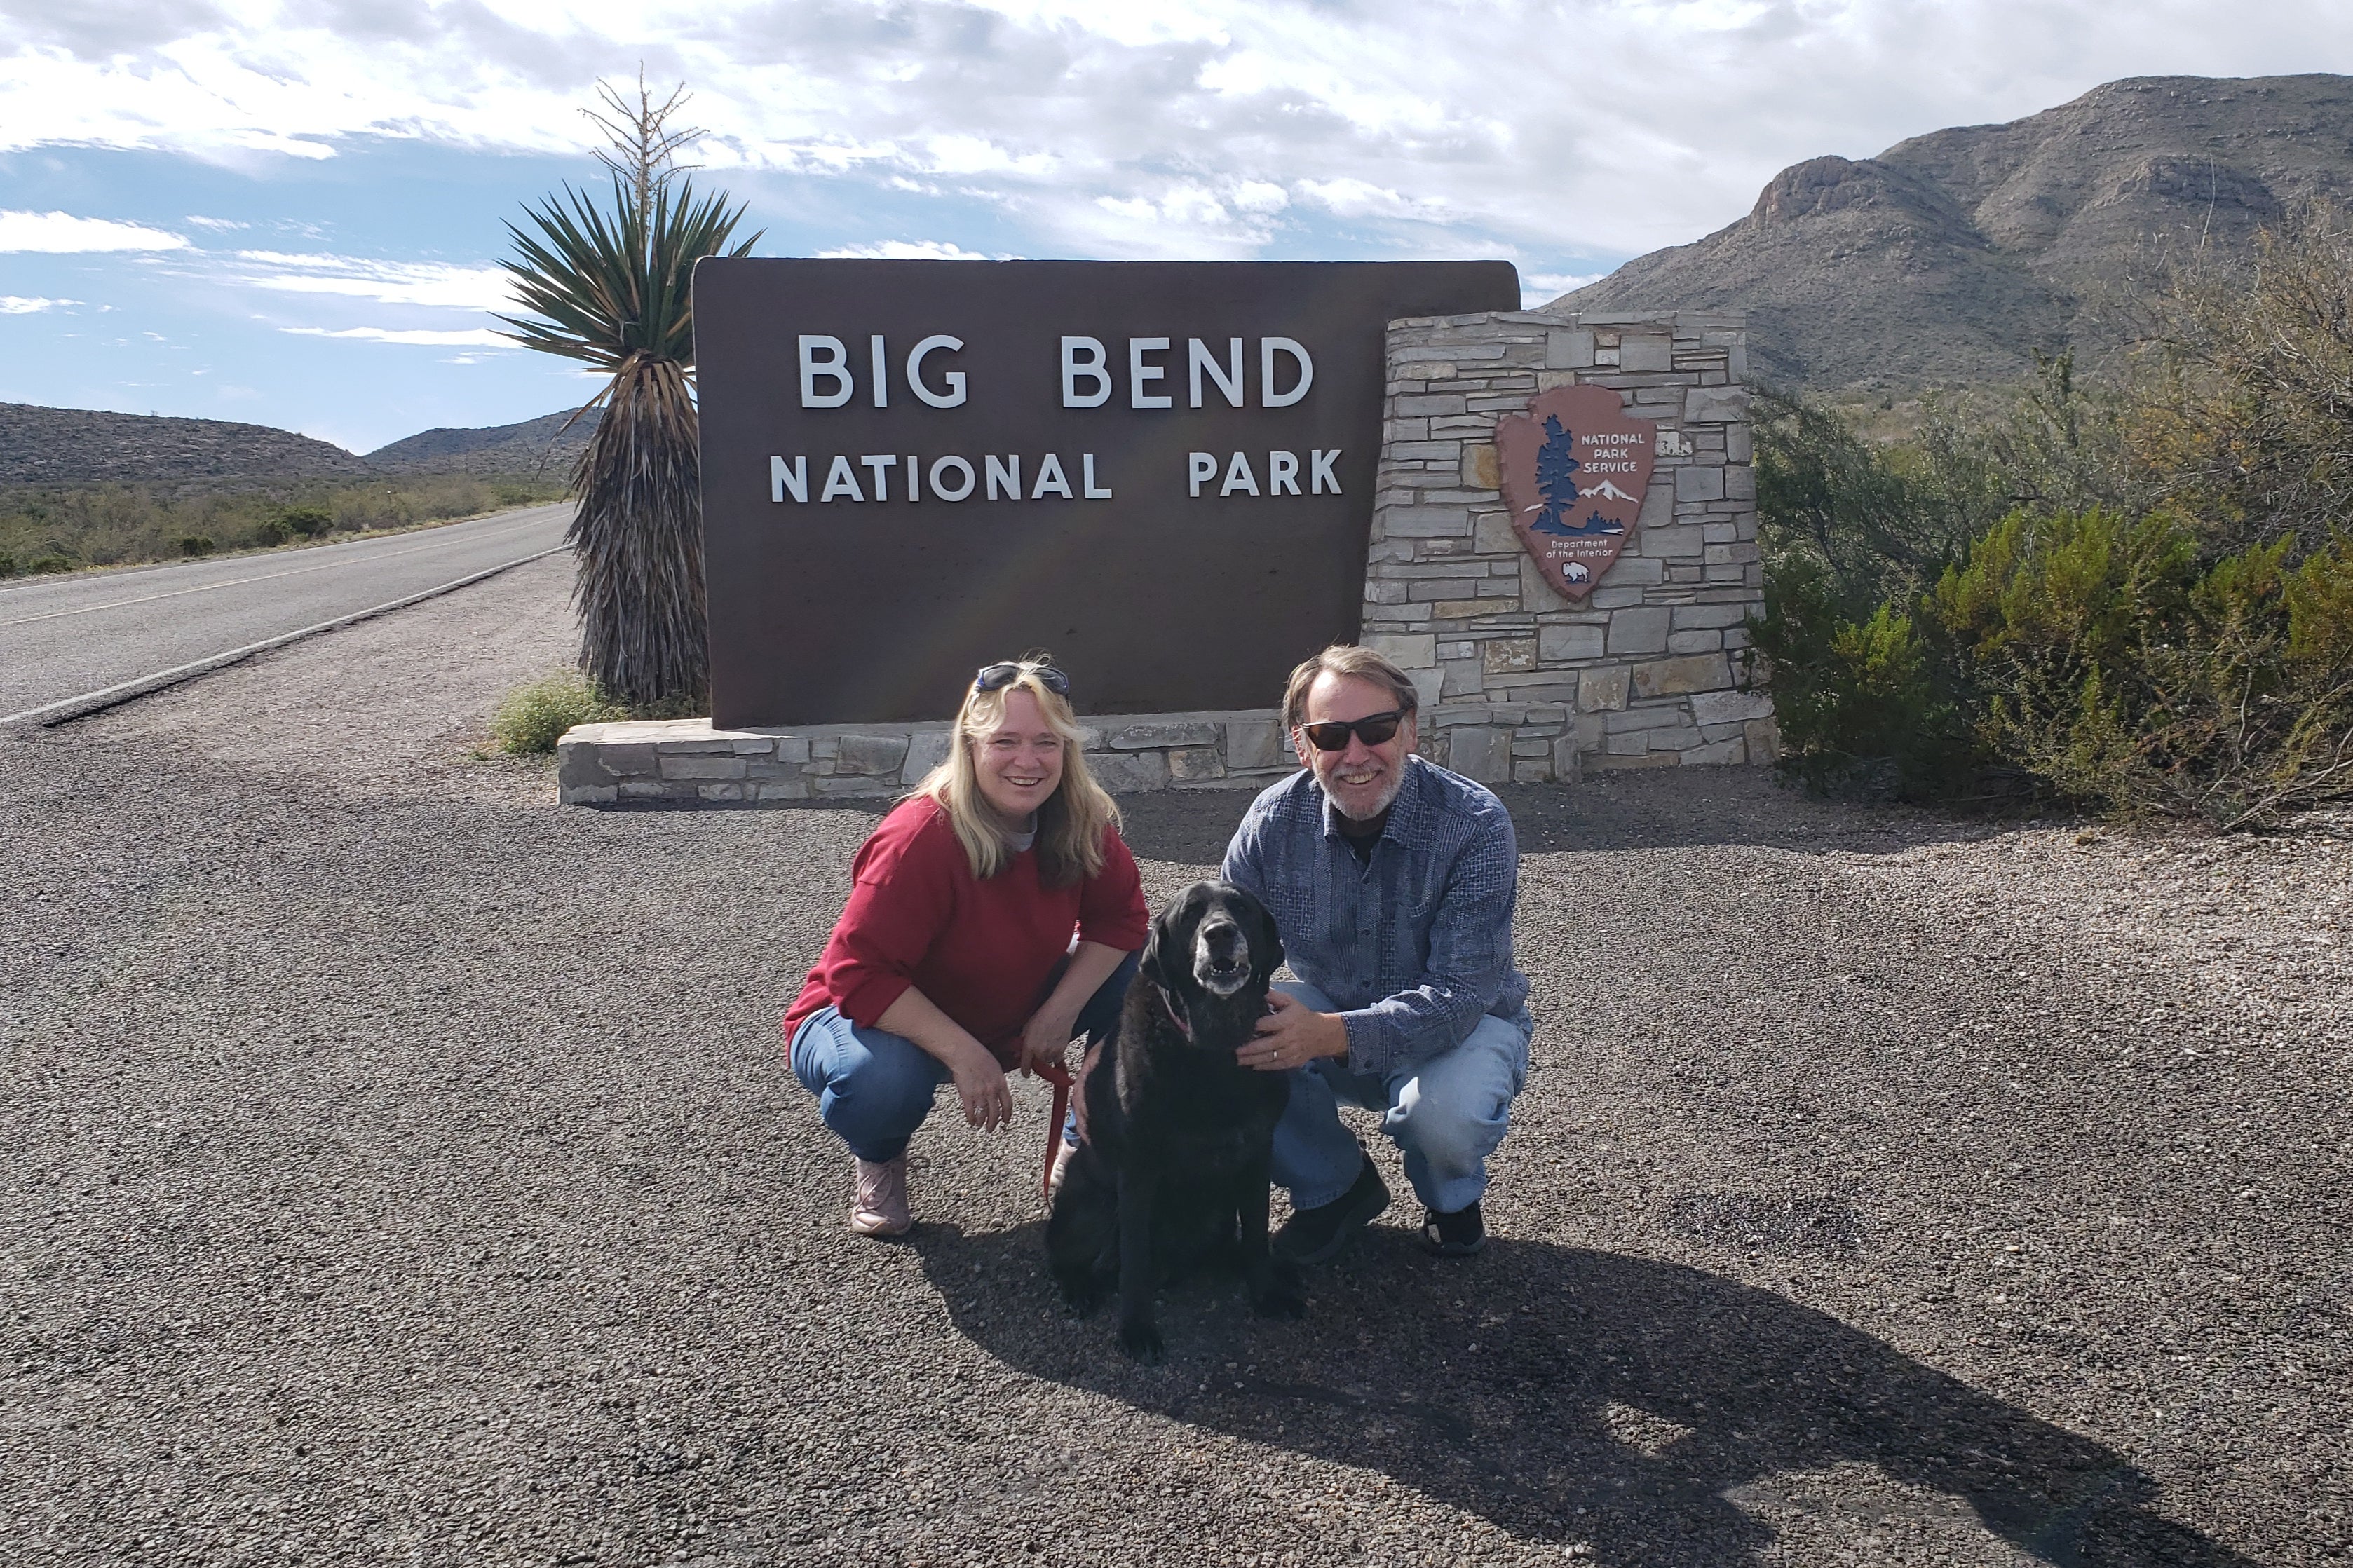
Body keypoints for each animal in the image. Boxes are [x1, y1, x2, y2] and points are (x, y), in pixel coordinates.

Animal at [1049, 884, 1308, 1363]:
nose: (1220, 932)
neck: (1216, 1046)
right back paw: (1079, 1287)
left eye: (1241, 907)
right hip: (1092, 1201)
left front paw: (1266, 1293)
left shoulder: (1257, 1155)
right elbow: (1134, 1261)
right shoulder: (1137, 1172)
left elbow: (1257, 1231)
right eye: (1190, 915)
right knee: (1064, 1252)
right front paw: (1136, 1330)